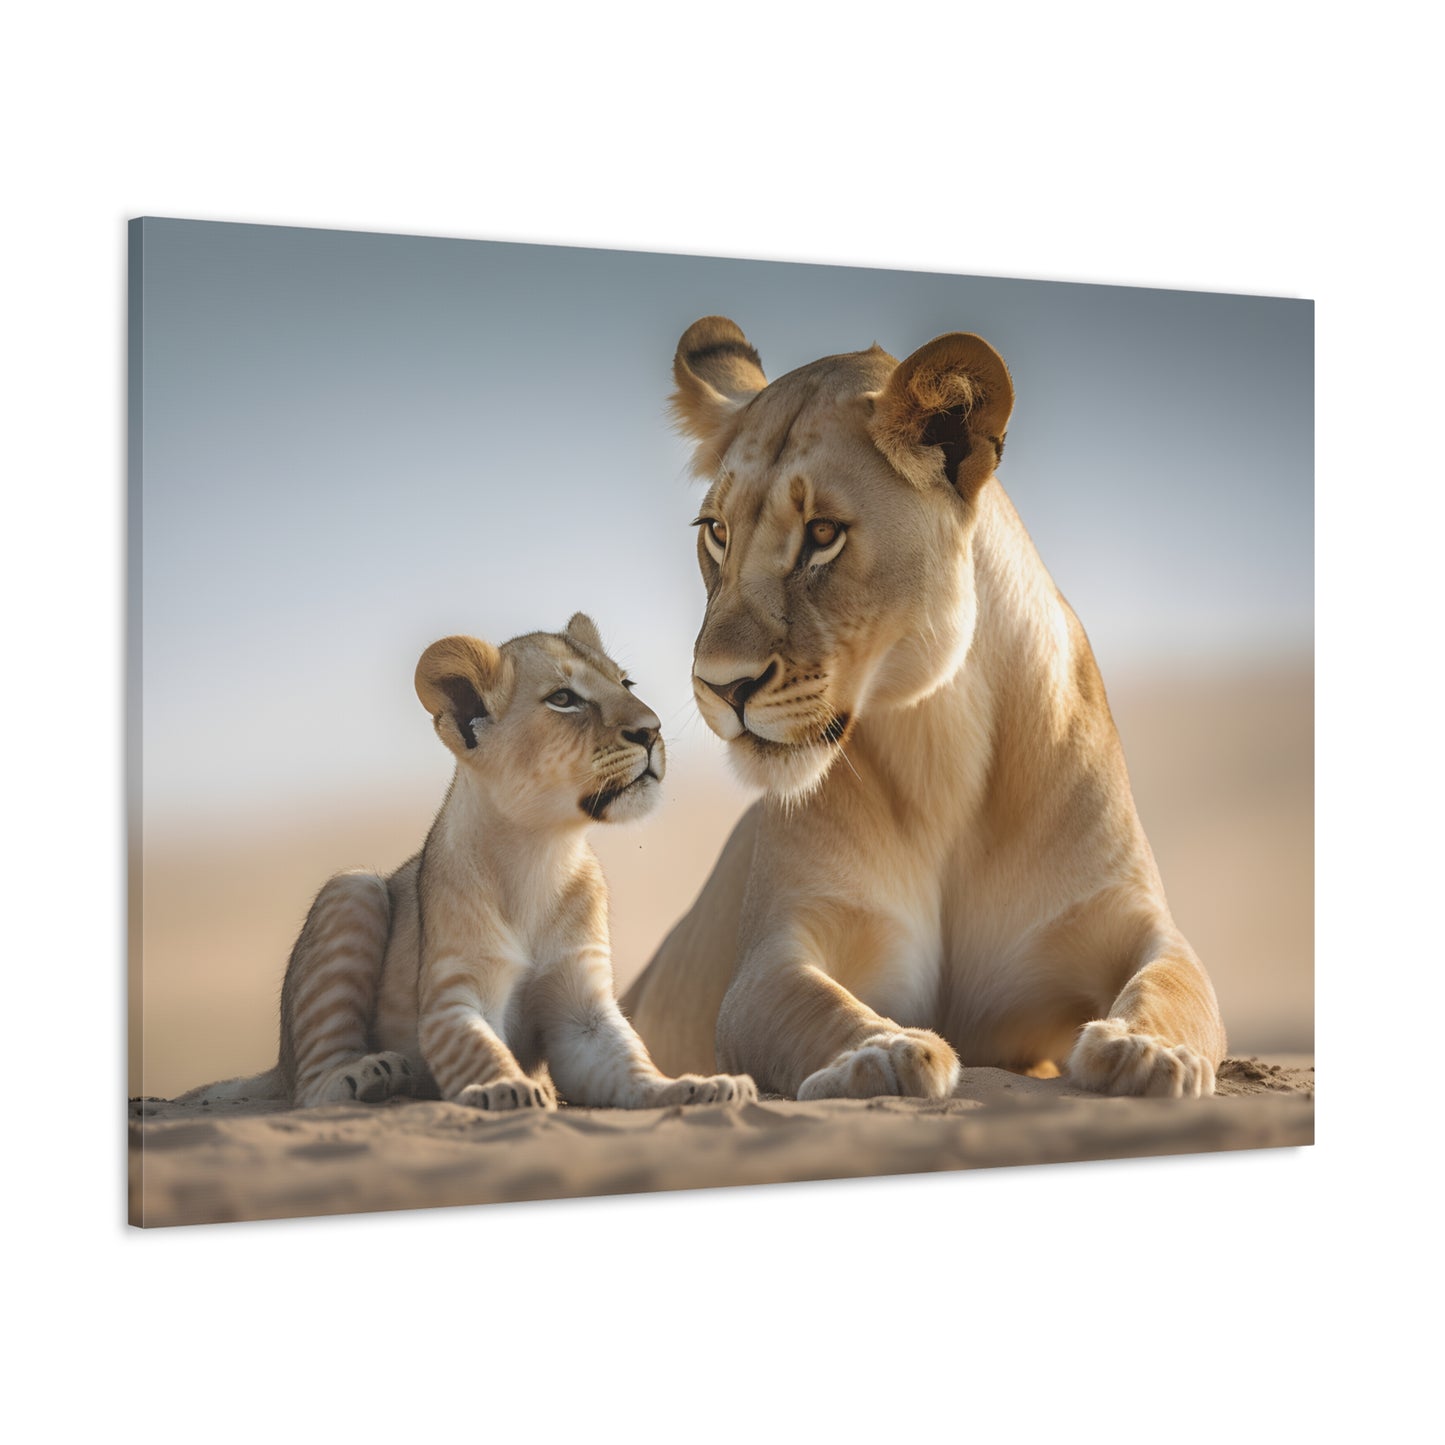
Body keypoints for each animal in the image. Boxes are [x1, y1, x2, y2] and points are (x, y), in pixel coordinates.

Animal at [180, 614, 756, 1112]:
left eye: (626, 682)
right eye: (564, 699)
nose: (652, 729)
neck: (542, 851)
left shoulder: (582, 1014)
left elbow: (630, 1060)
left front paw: (696, 1087)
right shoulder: (453, 998)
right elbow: (477, 1048)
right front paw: (505, 1088)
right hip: (352, 888)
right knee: (308, 1088)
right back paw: (368, 1075)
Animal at [621, 318, 1227, 1099]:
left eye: (823, 534)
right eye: (716, 531)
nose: (720, 686)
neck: (943, 742)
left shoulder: (1132, 918)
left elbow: (1175, 985)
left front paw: (1148, 1052)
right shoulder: (768, 959)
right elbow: (812, 1005)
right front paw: (882, 1053)